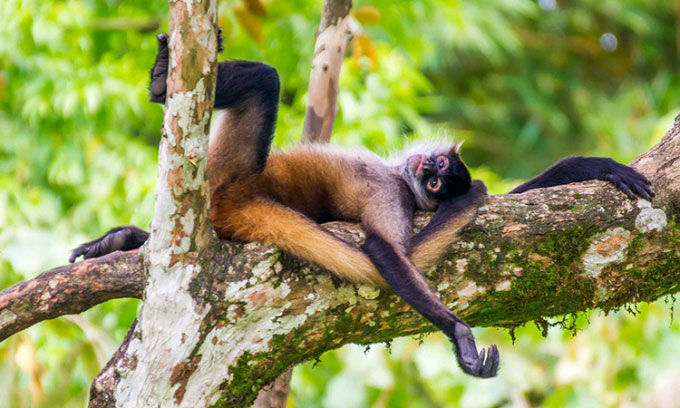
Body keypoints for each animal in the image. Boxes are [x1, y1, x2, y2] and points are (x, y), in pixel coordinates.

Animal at [69, 33, 654, 379]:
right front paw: (601, 166)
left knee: (265, 83)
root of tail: (237, 202)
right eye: (436, 168)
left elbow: (384, 248)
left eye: (438, 183)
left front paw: (459, 335)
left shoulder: (393, 199)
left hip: (229, 172)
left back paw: (160, 85)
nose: (428, 169)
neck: (399, 177)